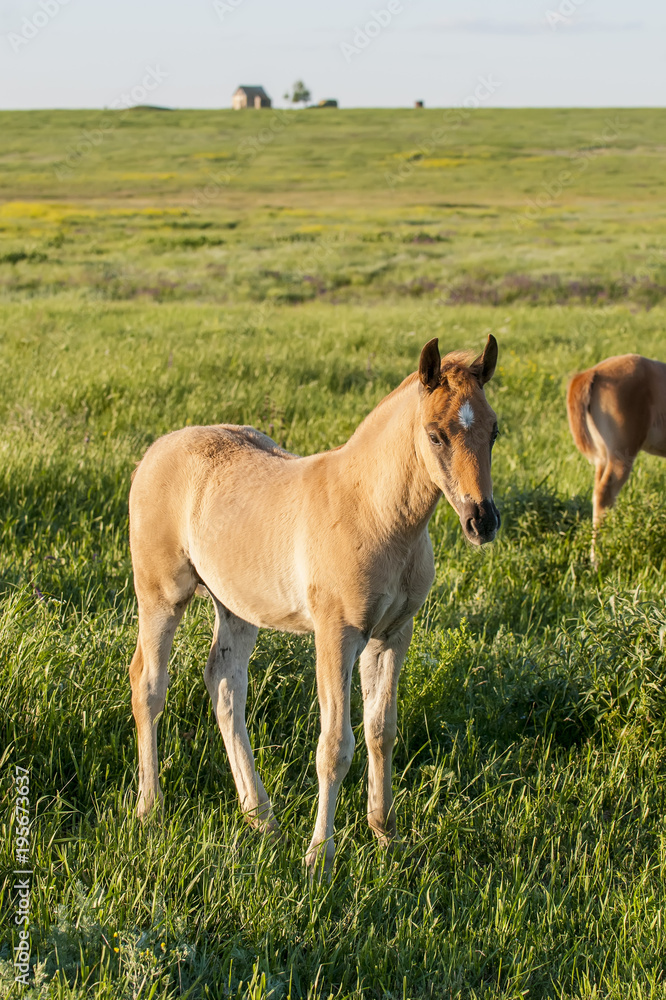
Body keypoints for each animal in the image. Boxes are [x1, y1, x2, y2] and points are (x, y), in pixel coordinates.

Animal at [127, 334, 498, 868]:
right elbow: (335, 745)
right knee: (149, 685)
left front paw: (386, 836)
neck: (375, 512)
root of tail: (156, 449)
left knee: (225, 685)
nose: (482, 522)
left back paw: (261, 818)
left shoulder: (392, 635)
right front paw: (319, 856)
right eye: (435, 436)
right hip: (161, 595)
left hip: (236, 607)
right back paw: (149, 809)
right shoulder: (336, 635)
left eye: (494, 431)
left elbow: (381, 731)